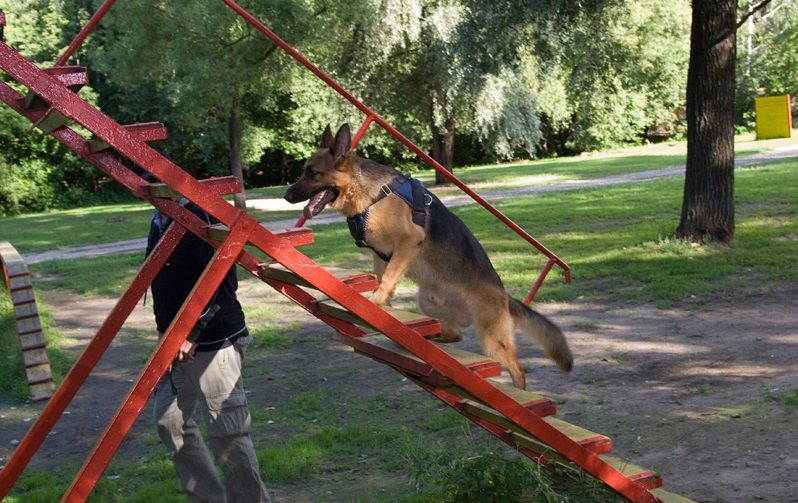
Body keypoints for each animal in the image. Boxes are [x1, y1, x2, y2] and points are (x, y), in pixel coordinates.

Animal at [284, 123, 572, 390]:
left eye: (313, 173)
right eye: (304, 171)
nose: (286, 195)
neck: (367, 192)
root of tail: (503, 295)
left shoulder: (408, 242)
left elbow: (387, 279)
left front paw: (375, 302)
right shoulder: (381, 256)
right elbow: (384, 279)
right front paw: (384, 311)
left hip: (492, 338)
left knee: (517, 368)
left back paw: (518, 393)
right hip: (426, 301)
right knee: (454, 335)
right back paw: (432, 341)